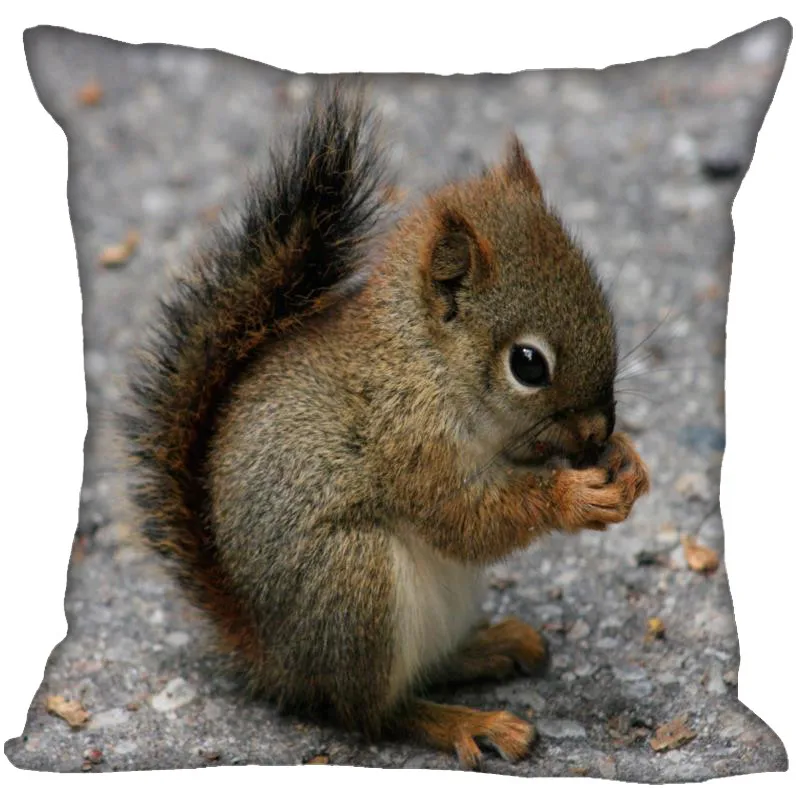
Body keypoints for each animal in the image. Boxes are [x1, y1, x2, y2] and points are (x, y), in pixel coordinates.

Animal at [121, 87, 650, 769]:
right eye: (528, 364)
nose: (598, 430)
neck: (425, 361)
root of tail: (277, 659)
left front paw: (628, 461)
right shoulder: (405, 438)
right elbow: (462, 519)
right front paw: (574, 495)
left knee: (424, 670)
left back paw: (491, 647)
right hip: (354, 582)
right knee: (373, 713)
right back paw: (463, 722)